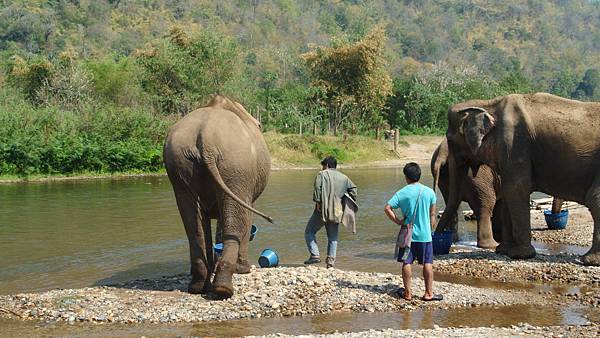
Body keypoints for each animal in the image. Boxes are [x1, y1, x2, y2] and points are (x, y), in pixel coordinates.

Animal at [163, 93, 274, 298]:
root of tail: (205, 137)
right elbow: (245, 215)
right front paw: (243, 270)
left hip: (180, 165)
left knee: (194, 225)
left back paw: (199, 286)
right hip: (236, 165)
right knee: (234, 222)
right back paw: (223, 288)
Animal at [436, 93, 600, 266]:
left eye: (450, 140)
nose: (437, 239)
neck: (489, 103)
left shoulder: (514, 142)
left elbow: (515, 188)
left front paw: (519, 254)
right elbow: (509, 191)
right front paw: (503, 251)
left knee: (595, 200)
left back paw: (589, 260)